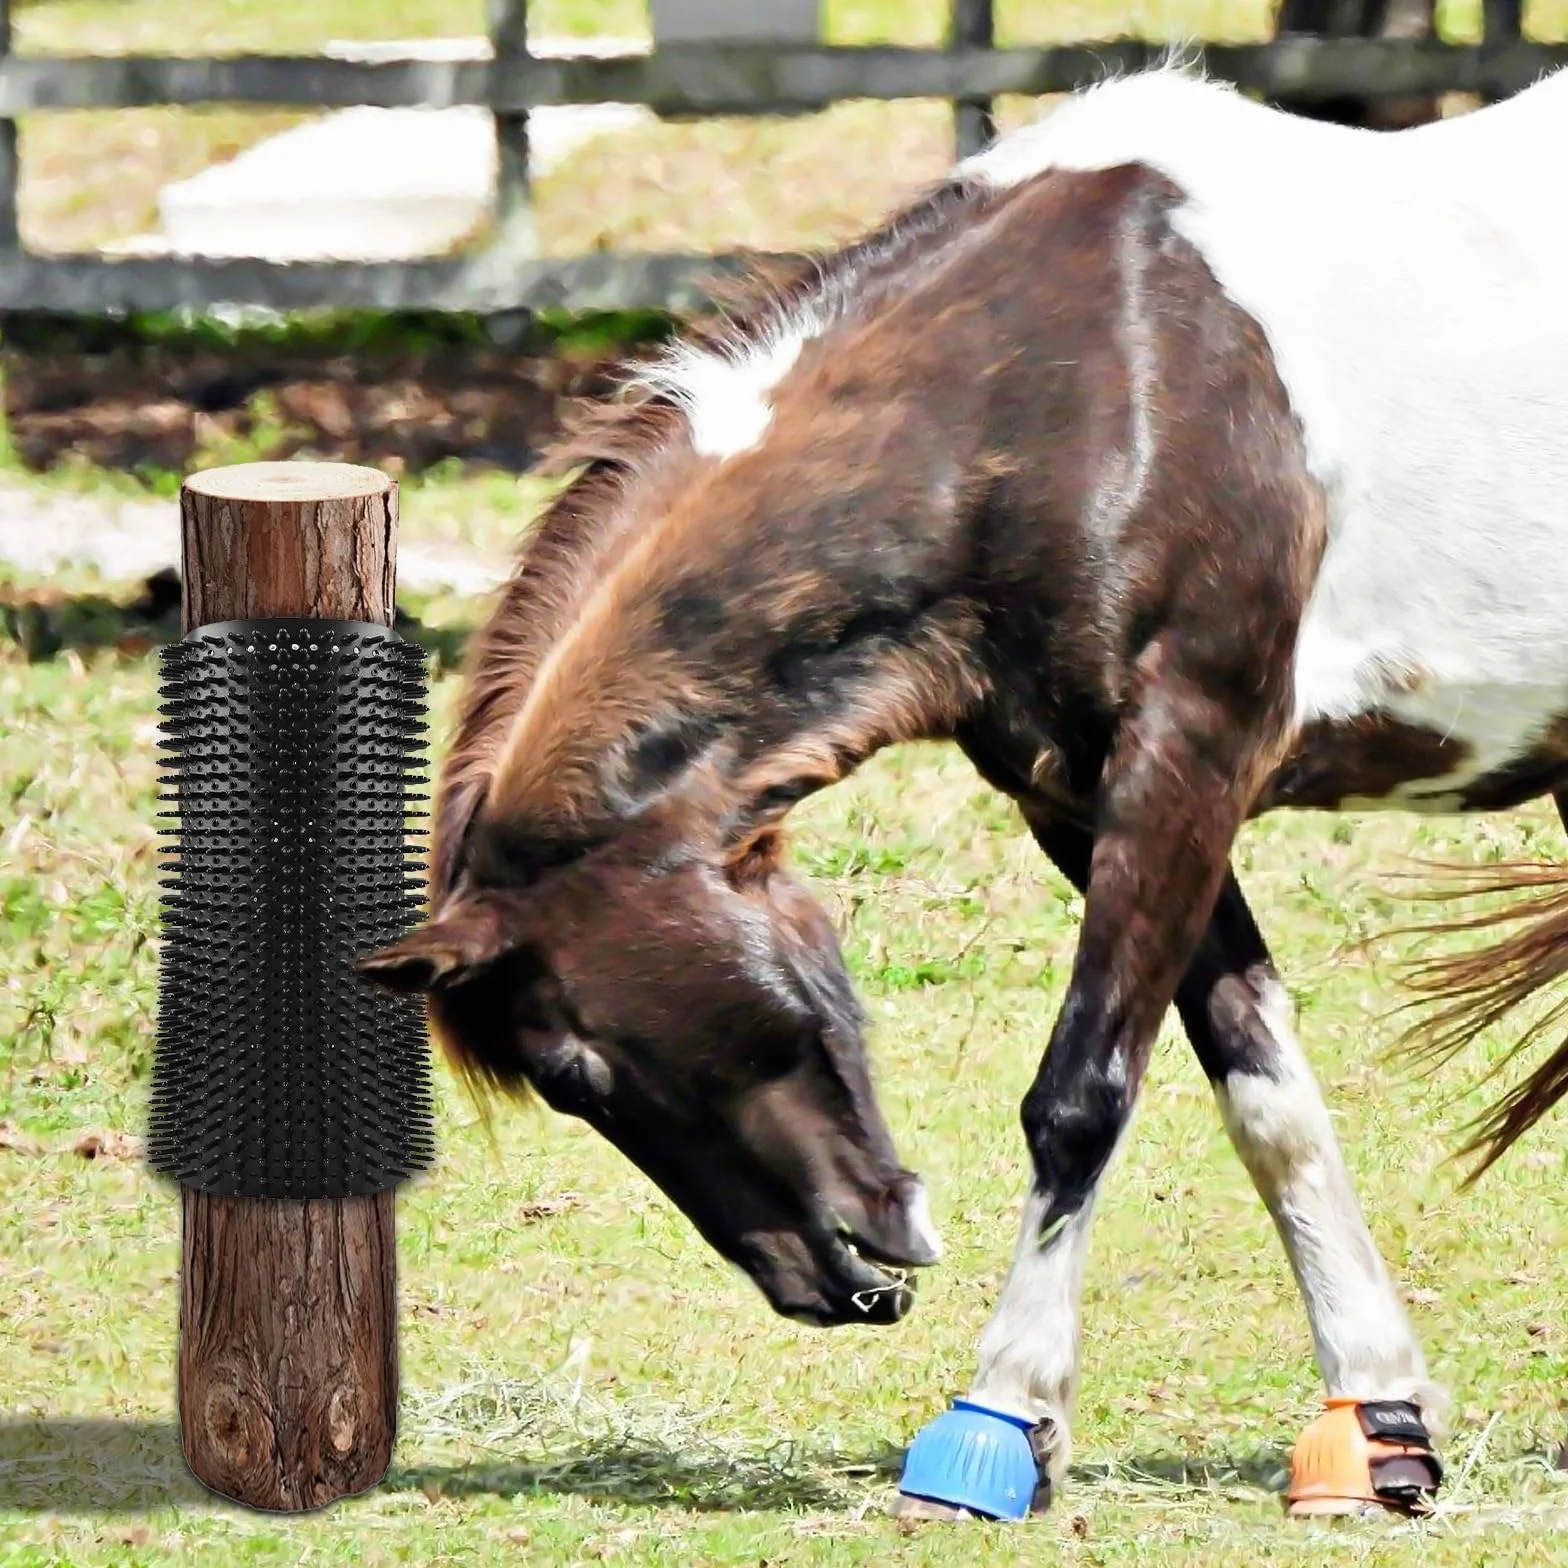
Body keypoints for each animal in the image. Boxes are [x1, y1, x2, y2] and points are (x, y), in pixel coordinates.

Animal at [360, 62, 1568, 1521]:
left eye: (568, 1067)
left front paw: (1000, 1417)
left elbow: (1081, 1095)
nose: (825, 1277)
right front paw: (1378, 1420)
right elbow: (1263, 1092)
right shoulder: (1084, 800)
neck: (1098, 389)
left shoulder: (1189, 758)